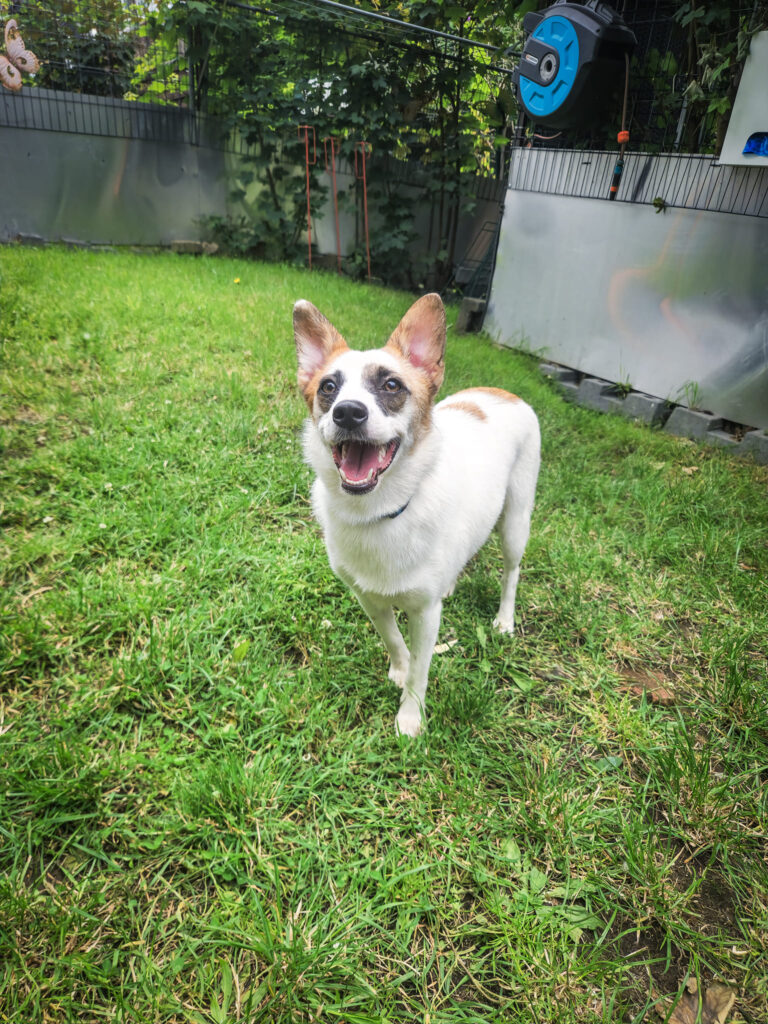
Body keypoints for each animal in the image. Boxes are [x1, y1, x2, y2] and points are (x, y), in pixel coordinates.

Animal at [294, 293, 540, 736]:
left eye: (392, 385)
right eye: (328, 387)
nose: (347, 412)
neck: (382, 511)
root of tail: (504, 392)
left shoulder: (425, 615)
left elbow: (422, 671)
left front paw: (410, 717)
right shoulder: (368, 599)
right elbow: (393, 640)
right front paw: (399, 667)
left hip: (516, 520)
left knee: (511, 572)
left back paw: (504, 620)